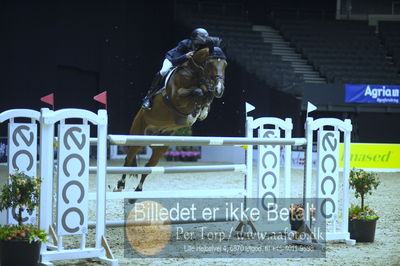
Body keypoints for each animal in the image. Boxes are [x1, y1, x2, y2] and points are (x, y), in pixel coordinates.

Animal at [115, 46, 228, 193]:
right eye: (210, 64)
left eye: (225, 65)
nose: (220, 89)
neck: (195, 73)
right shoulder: (177, 97)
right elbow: (198, 92)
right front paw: (196, 111)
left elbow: (207, 94)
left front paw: (202, 110)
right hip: (137, 137)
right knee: (128, 159)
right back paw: (120, 185)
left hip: (161, 147)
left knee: (148, 166)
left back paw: (137, 192)